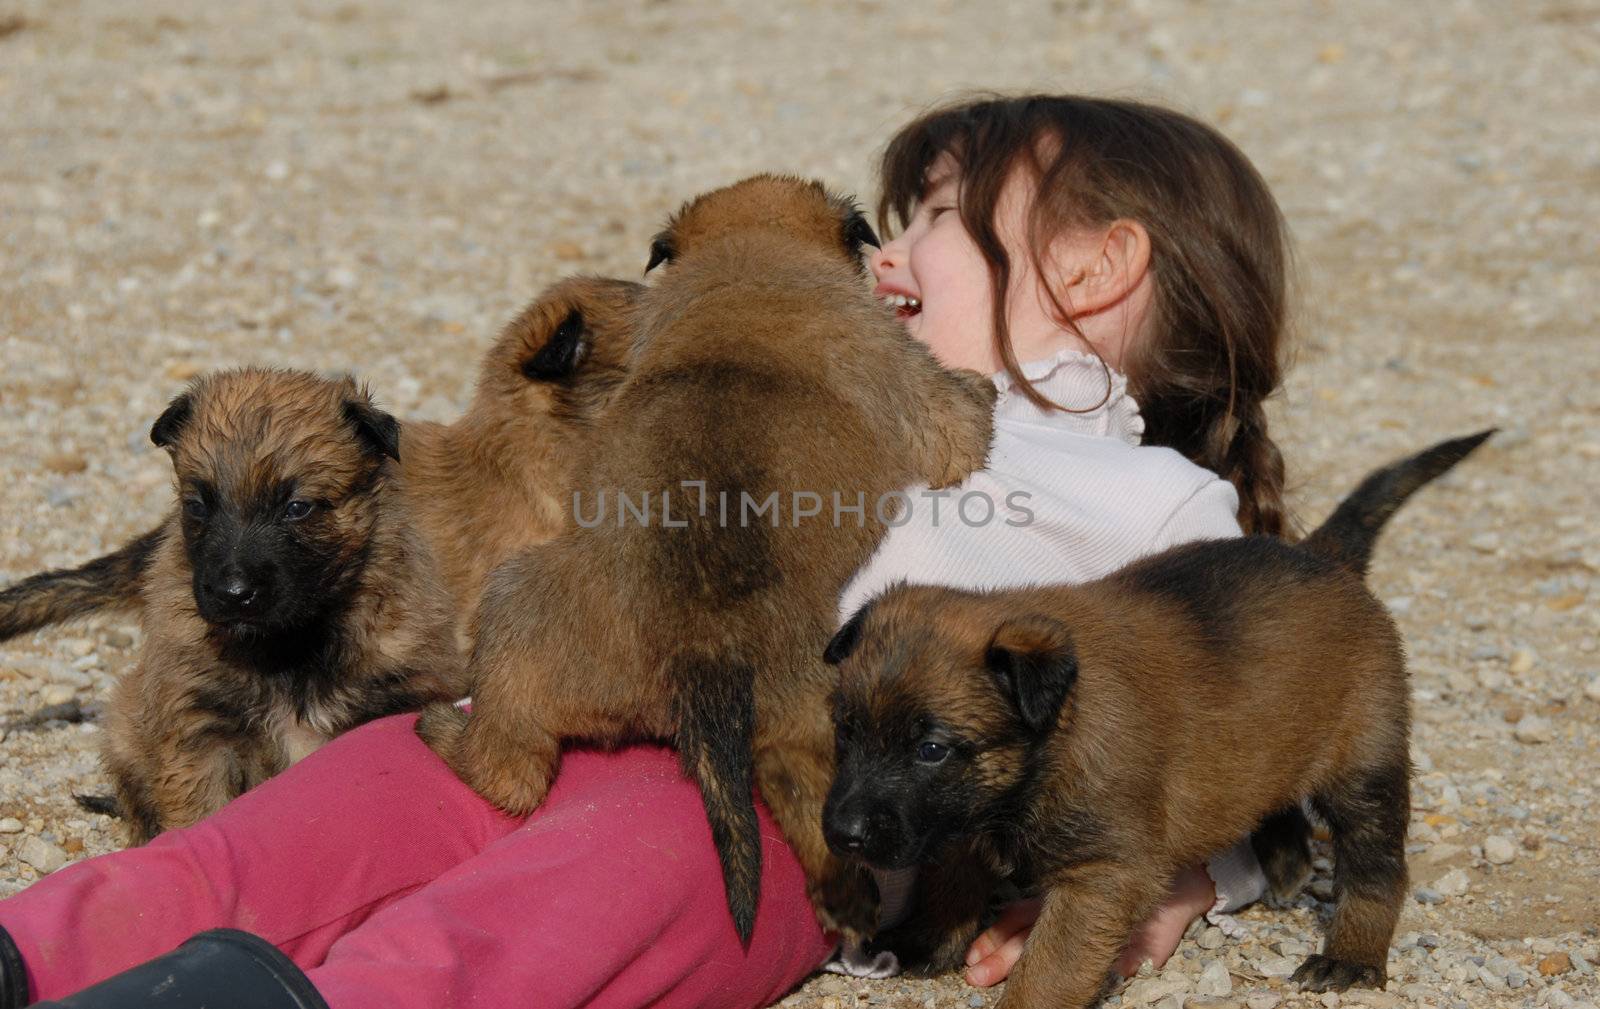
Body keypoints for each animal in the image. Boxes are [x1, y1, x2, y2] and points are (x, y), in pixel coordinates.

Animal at [103, 367, 467, 837]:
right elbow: (199, 814)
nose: (233, 594)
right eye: (197, 505)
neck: (289, 647)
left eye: (297, 507)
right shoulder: (200, 735)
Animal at [825, 431, 1497, 1004]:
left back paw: (1351, 955)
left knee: (1377, 867)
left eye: (930, 750)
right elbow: (950, 882)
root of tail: (1322, 559)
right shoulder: (963, 822)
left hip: (1365, 764)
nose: (842, 834)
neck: (1053, 739)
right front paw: (924, 941)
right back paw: (1285, 860)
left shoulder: (1102, 876)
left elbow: (1049, 967)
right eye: (846, 731)